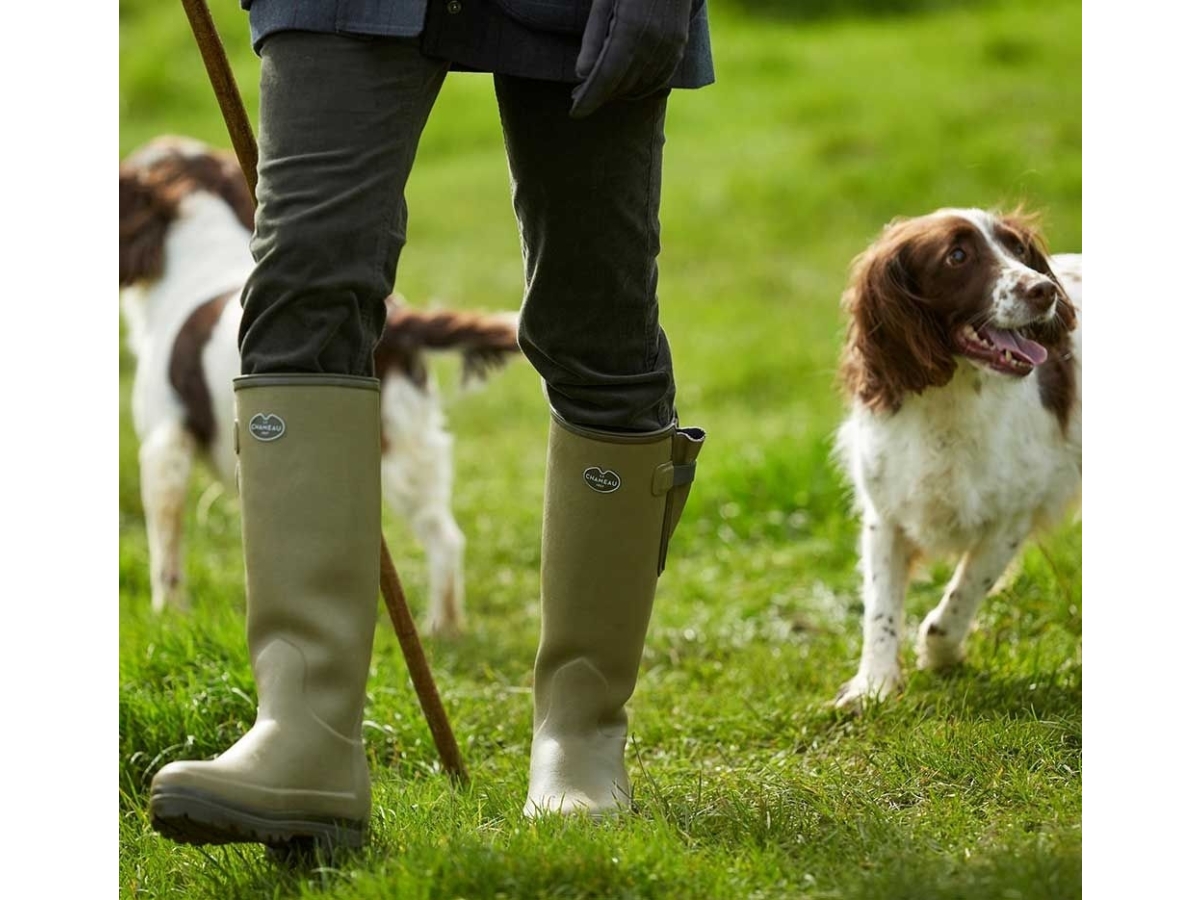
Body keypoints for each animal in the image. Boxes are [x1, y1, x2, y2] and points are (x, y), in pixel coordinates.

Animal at [118, 137, 525, 638]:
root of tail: (396, 323)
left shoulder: (164, 445)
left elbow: (165, 550)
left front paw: (168, 617)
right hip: (412, 447)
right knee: (445, 539)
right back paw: (442, 631)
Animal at [835, 207, 1080, 710]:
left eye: (1017, 248)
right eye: (958, 256)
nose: (1043, 289)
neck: (949, 400)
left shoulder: (1010, 520)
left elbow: (958, 600)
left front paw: (939, 656)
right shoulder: (885, 515)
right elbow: (880, 608)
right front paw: (874, 685)